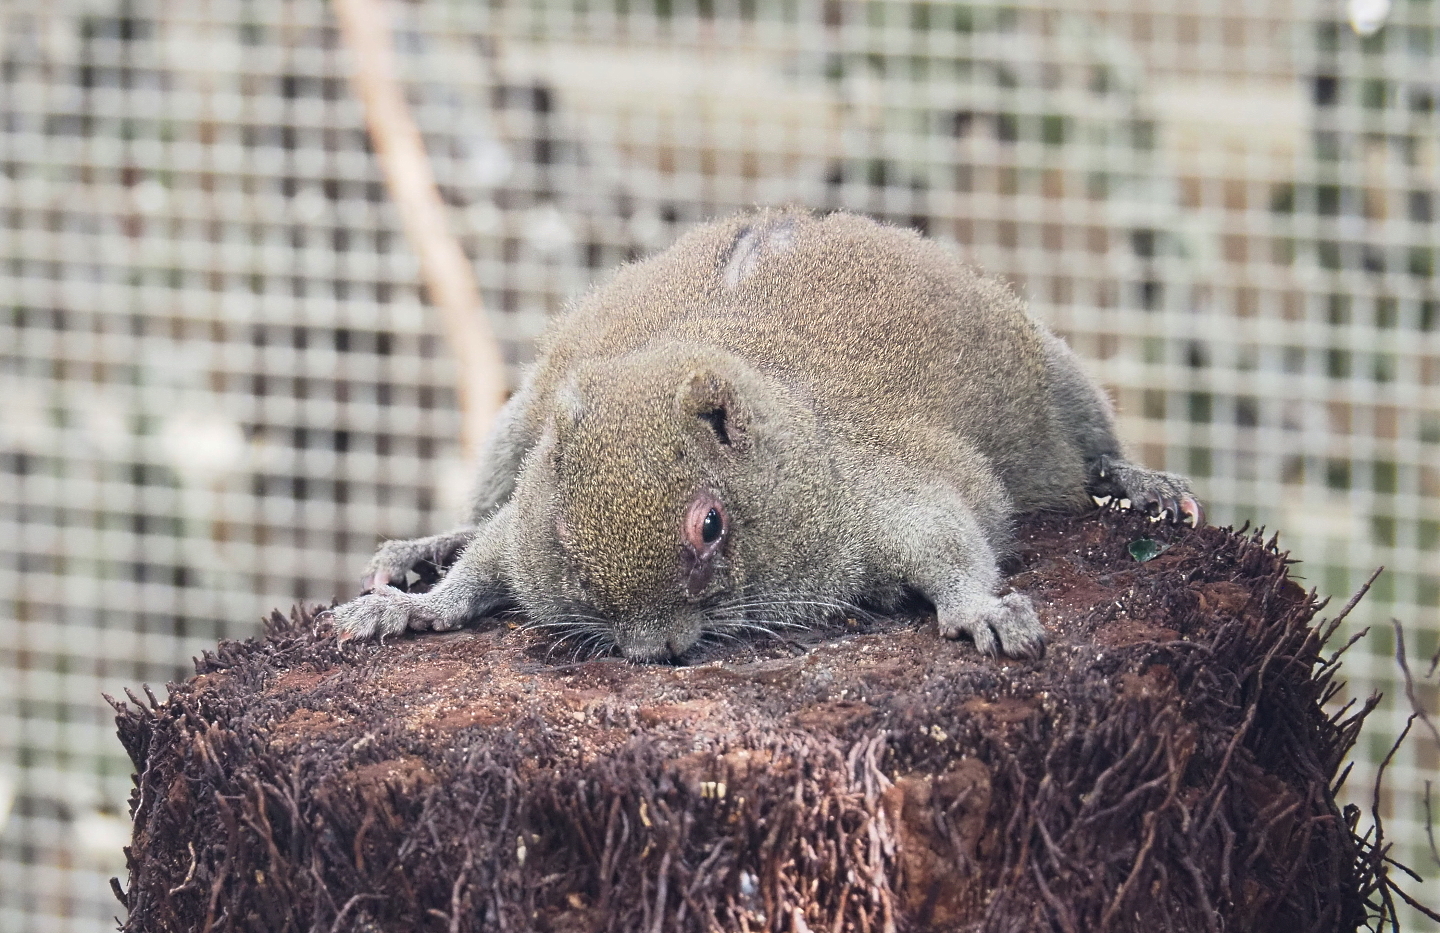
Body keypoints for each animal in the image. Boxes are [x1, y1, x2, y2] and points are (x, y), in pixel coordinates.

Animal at [330, 209, 1202, 662]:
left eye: (711, 526)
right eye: (565, 536)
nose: (651, 650)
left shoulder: (870, 488)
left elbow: (946, 541)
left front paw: (978, 608)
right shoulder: (528, 511)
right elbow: (491, 555)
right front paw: (423, 607)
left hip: (1053, 384)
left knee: (1090, 441)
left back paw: (1138, 481)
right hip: (515, 429)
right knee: (481, 512)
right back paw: (428, 545)